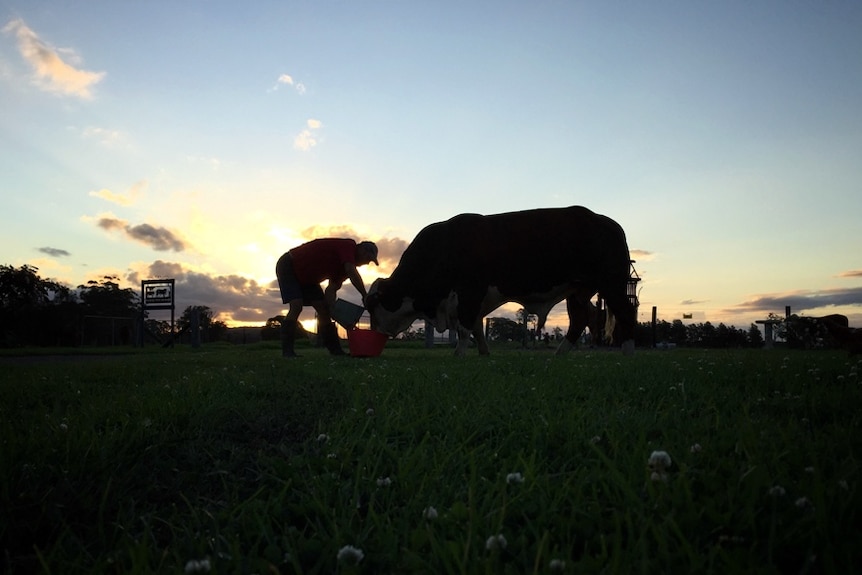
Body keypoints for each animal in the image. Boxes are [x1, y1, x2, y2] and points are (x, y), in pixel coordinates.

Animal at [368, 205, 636, 354]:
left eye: (372, 307)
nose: (375, 331)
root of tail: (607, 221)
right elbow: (477, 326)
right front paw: (483, 352)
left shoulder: (470, 292)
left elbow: (466, 327)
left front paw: (459, 354)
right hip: (577, 290)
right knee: (580, 320)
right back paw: (559, 354)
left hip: (612, 283)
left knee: (624, 313)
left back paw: (628, 352)